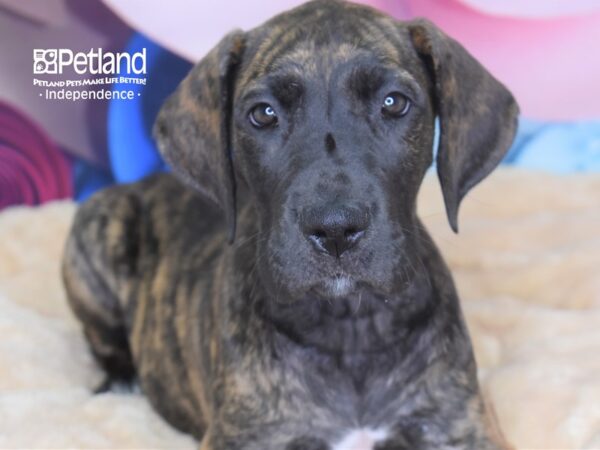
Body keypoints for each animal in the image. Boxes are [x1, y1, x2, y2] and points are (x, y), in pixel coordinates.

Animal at [63, 1, 516, 448]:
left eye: (393, 103)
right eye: (263, 114)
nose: (335, 230)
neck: (350, 327)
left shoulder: (459, 429)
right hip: (95, 226)